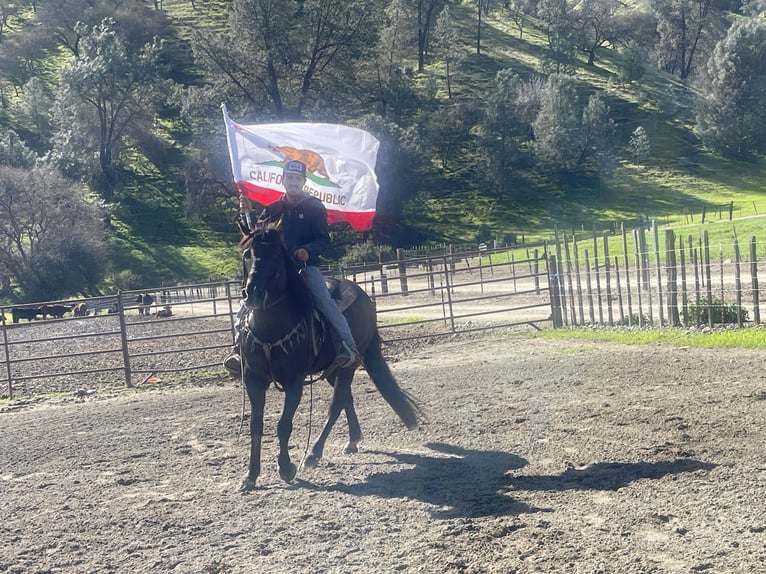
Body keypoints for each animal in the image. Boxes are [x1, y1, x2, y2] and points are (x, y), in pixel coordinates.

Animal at [238, 220, 424, 490]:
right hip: (332, 370)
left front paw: (286, 468)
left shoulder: (294, 381)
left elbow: (283, 425)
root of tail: (363, 296)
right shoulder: (253, 379)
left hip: (347, 367)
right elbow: (255, 425)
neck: (271, 327)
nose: (252, 292)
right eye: (247, 254)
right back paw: (353, 439)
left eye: (274, 255)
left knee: (336, 405)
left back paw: (314, 454)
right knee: (346, 399)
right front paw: (250, 475)